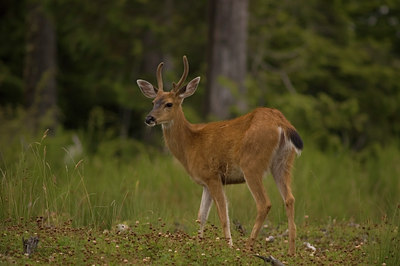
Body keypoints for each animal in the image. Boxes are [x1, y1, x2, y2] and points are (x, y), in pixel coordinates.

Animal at [138, 55, 304, 255]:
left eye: (169, 104)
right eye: (153, 102)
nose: (149, 118)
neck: (190, 144)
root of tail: (282, 123)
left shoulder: (213, 176)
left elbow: (223, 213)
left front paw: (228, 247)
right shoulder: (205, 182)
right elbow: (201, 216)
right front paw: (198, 245)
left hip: (252, 164)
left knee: (264, 203)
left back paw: (247, 248)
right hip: (284, 162)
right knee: (290, 198)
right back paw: (291, 252)